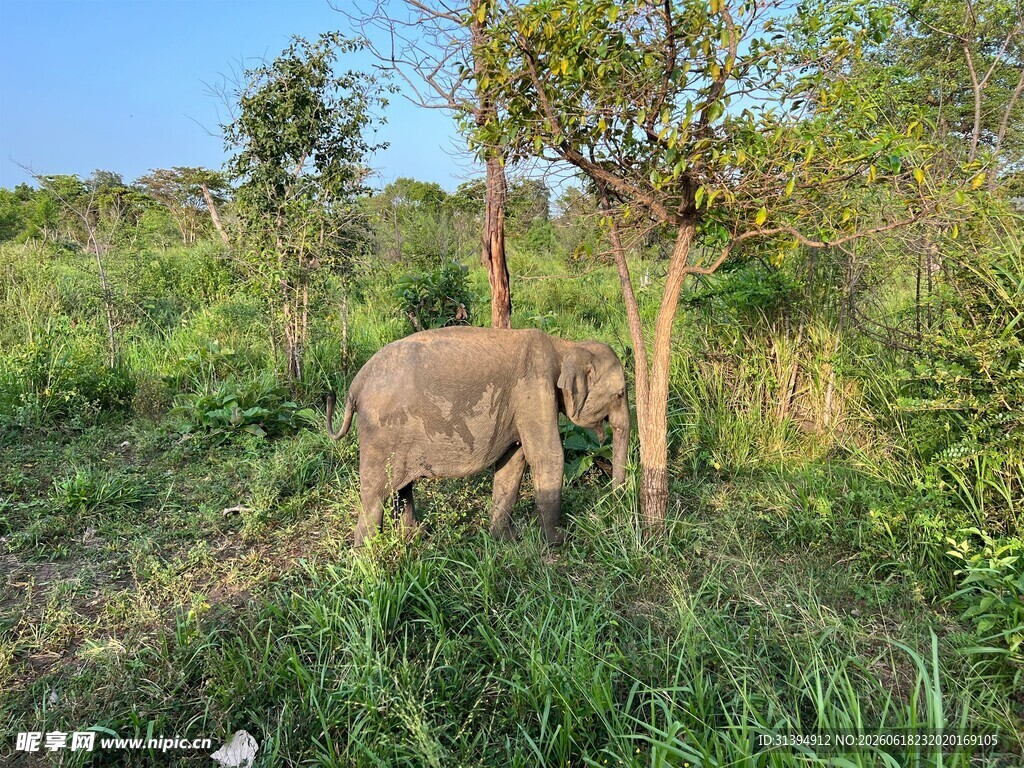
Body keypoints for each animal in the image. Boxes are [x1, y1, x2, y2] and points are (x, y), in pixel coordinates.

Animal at [326, 326, 630, 547]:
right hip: (379, 434)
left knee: (402, 489)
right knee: (374, 496)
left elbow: (513, 461)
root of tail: (354, 387)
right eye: (620, 394)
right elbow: (548, 456)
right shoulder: (535, 387)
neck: (565, 346)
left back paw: (414, 540)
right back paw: (367, 558)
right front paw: (558, 542)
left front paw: (505, 540)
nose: (614, 502)